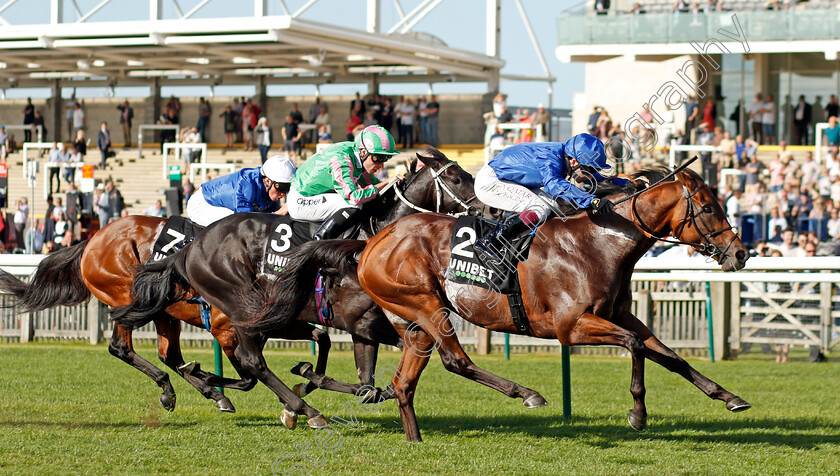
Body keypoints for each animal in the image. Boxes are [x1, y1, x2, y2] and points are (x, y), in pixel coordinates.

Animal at [110, 148, 480, 428]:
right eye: (456, 177)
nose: (483, 209)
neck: (375, 239)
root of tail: (190, 248)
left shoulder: (365, 327)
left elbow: (366, 381)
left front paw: (306, 381)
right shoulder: (362, 322)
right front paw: (303, 388)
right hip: (243, 306)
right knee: (252, 362)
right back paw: (306, 412)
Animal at [270, 165, 756, 440]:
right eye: (708, 208)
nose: (741, 253)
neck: (600, 241)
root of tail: (371, 241)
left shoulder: (621, 316)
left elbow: (671, 356)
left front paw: (730, 397)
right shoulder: (570, 327)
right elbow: (636, 349)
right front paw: (637, 414)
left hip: (413, 322)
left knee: (405, 382)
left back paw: (413, 438)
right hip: (427, 306)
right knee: (456, 361)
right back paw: (527, 393)